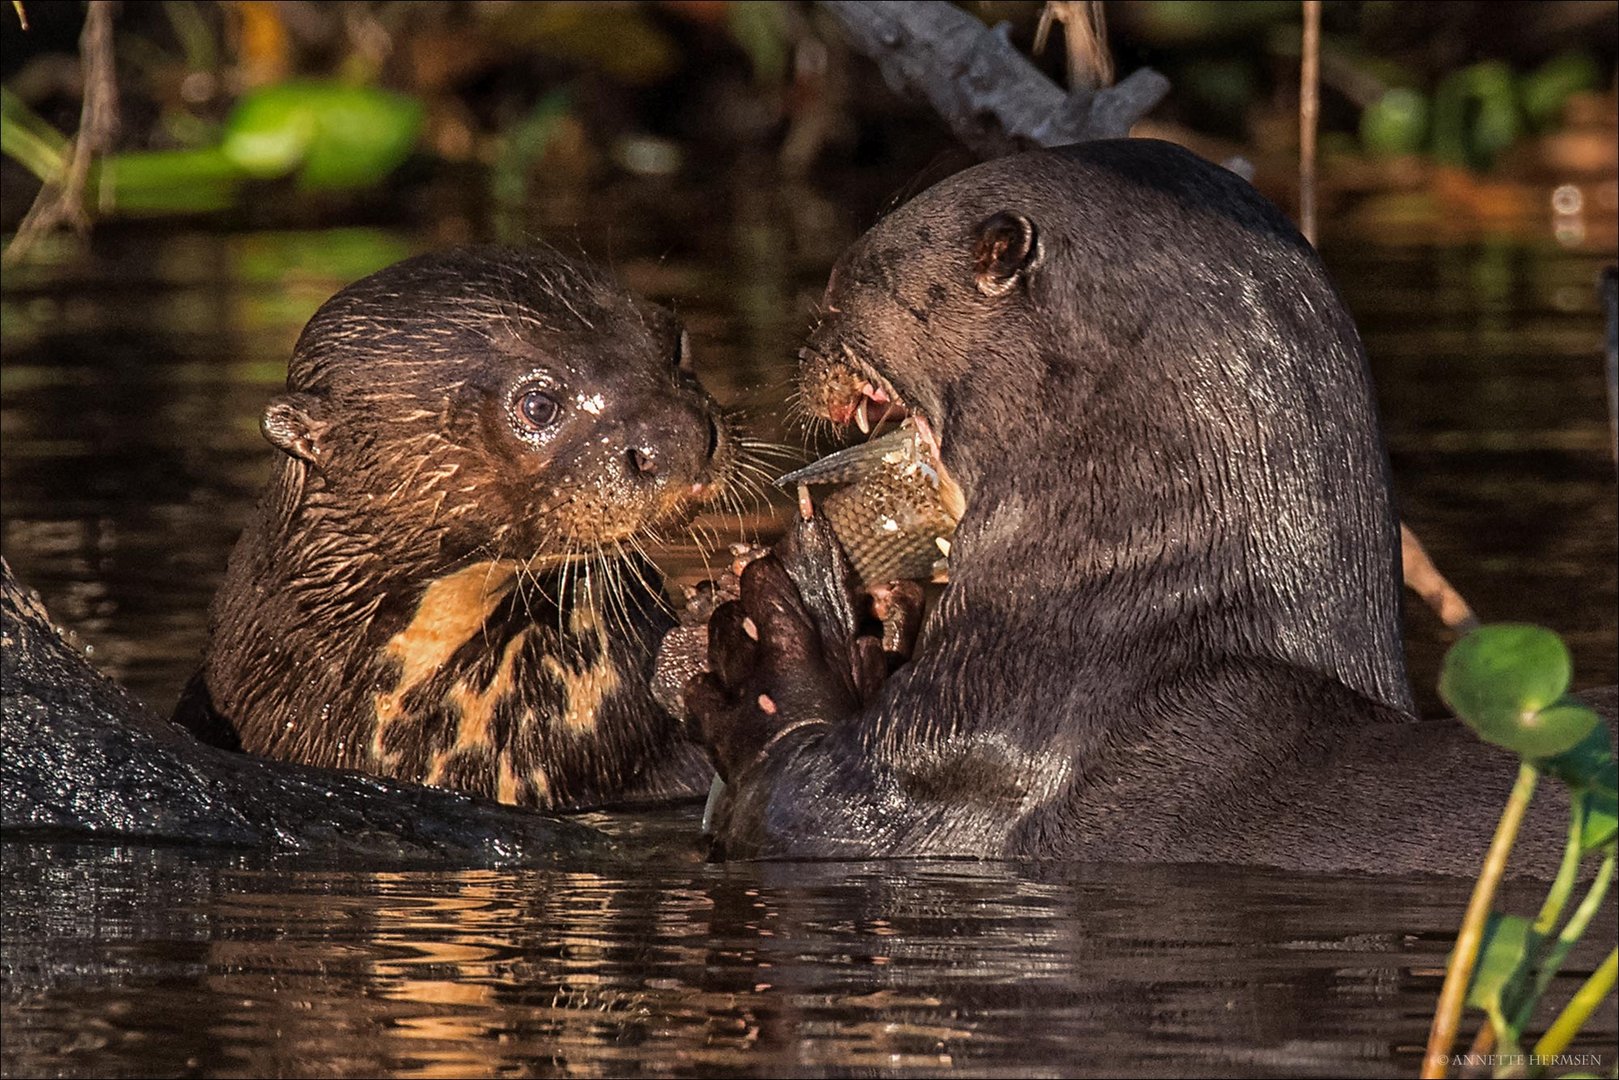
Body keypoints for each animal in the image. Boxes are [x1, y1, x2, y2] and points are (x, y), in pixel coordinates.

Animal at [689, 137, 1586, 880]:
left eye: (840, 294)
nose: (808, 351)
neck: (1104, 618)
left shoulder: (965, 756)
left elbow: (795, 799)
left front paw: (781, 631)